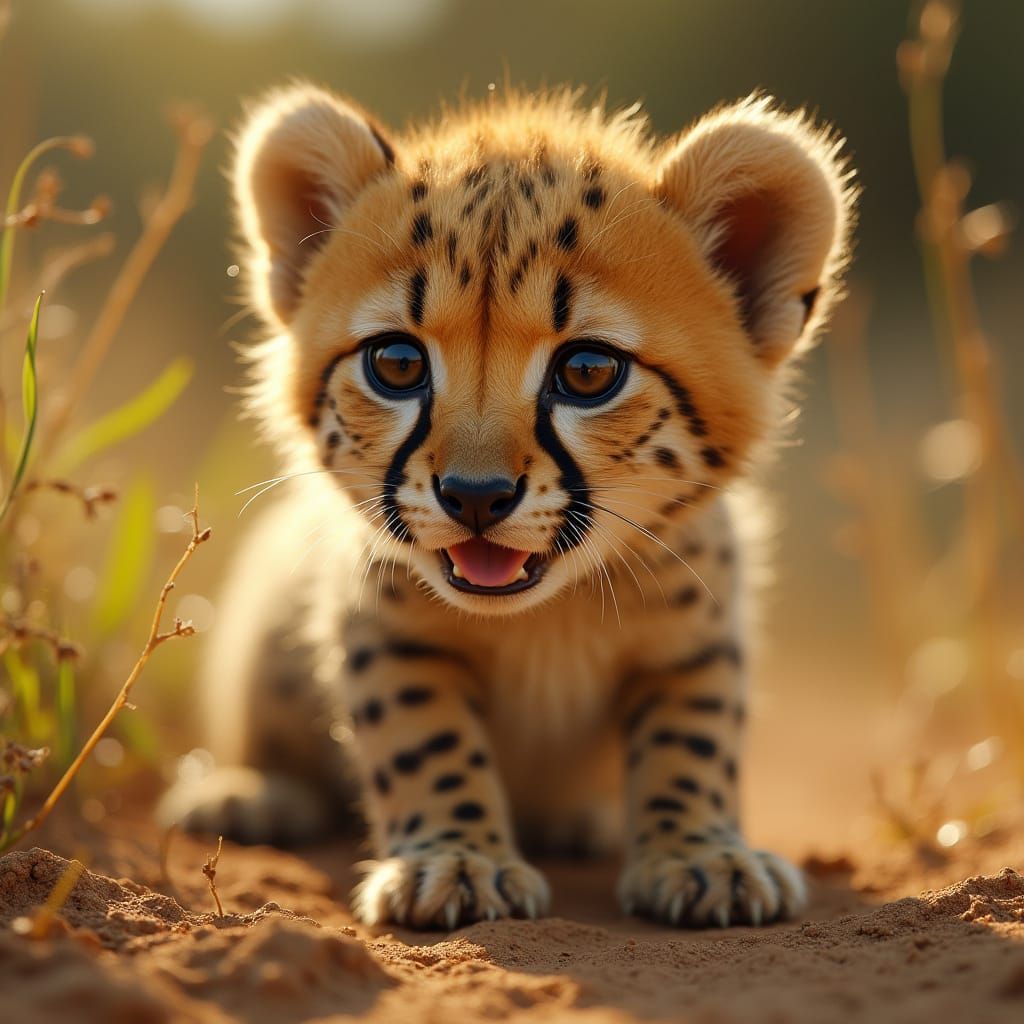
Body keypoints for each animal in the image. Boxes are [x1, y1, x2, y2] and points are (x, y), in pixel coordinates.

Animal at [159, 83, 855, 931]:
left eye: (588, 372)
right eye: (397, 363)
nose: (475, 496)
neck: (544, 620)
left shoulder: (695, 634)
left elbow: (692, 740)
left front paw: (703, 854)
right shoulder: (383, 625)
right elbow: (424, 739)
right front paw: (459, 860)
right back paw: (254, 792)